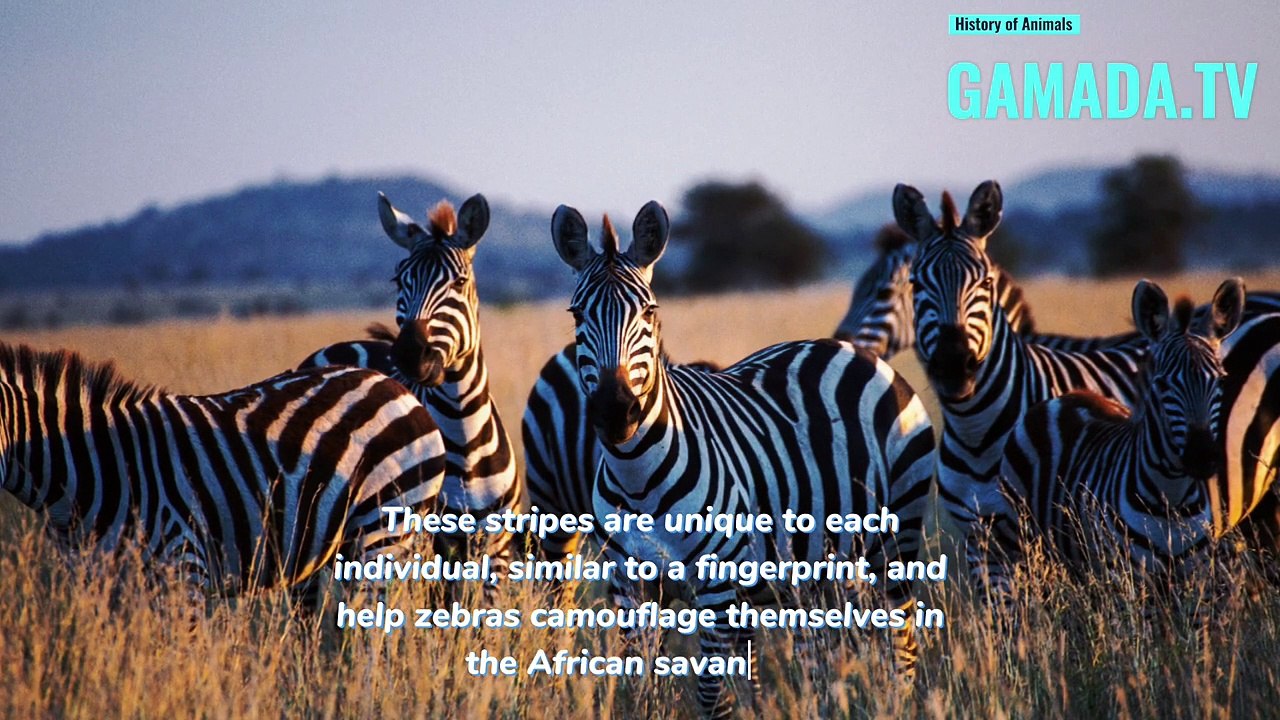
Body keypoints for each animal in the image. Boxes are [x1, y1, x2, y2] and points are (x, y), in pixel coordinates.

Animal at [299, 192, 519, 604]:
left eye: (460, 281)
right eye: (399, 279)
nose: (409, 354)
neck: (464, 435)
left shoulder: (495, 547)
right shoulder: (430, 542)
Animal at [551, 200, 937, 719]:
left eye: (649, 312)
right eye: (577, 315)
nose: (615, 412)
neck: (637, 475)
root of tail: (855, 351)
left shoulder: (717, 585)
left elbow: (711, 696)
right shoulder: (628, 586)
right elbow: (639, 689)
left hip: (896, 540)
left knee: (901, 647)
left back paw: (897, 702)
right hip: (816, 568)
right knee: (823, 658)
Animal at [995, 279, 1244, 580]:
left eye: (1221, 381)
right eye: (1161, 385)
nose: (1202, 457)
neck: (1171, 498)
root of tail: (1065, 397)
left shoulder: (1198, 575)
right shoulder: (1126, 574)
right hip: (1018, 540)